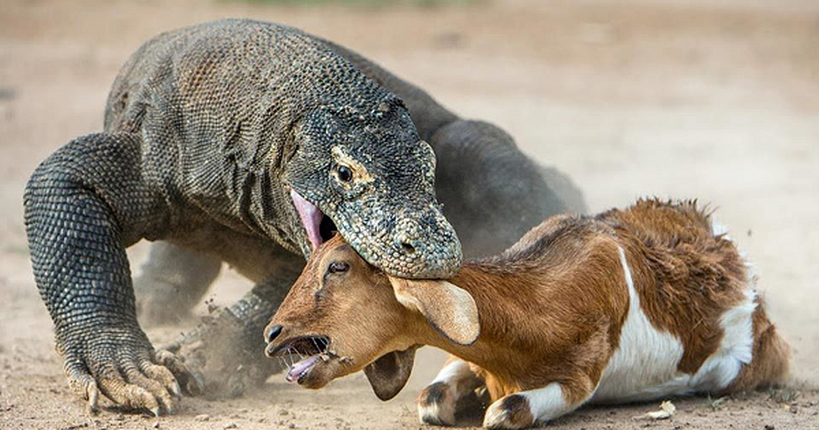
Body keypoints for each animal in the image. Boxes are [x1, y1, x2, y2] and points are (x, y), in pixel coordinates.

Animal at [266, 200, 792, 428]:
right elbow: (431, 399)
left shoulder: (579, 379)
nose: (273, 333)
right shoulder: (469, 357)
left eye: (338, 266)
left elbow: (505, 412)